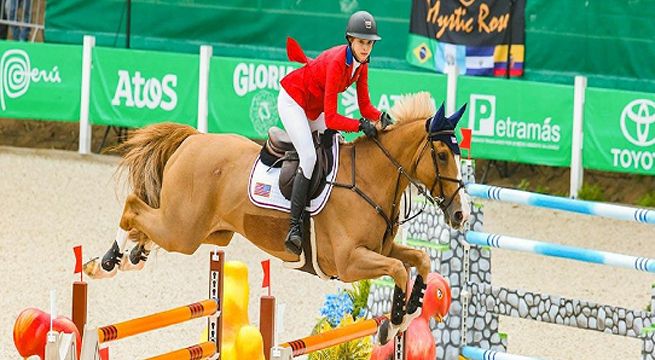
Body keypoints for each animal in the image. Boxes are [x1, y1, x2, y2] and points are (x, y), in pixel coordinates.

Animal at [84, 90, 468, 344]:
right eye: (441, 154)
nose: (461, 214)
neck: (370, 179)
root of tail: (194, 140)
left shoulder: (379, 250)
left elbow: (418, 260)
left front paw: (412, 307)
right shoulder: (349, 262)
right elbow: (399, 269)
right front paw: (395, 322)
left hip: (208, 231)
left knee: (147, 224)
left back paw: (132, 256)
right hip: (184, 231)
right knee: (133, 207)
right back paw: (104, 263)